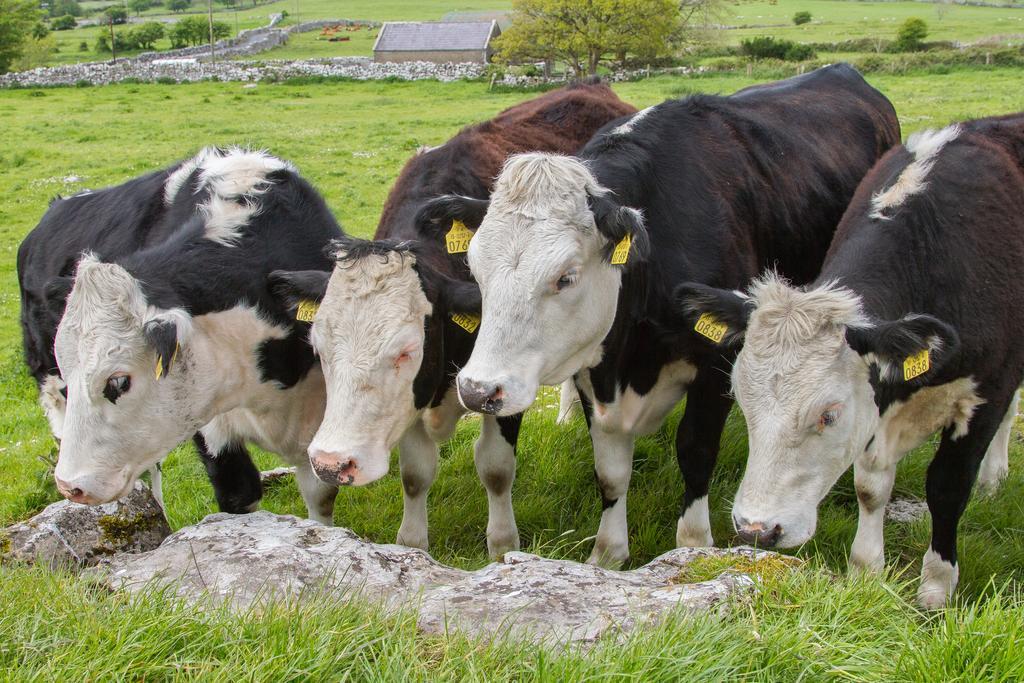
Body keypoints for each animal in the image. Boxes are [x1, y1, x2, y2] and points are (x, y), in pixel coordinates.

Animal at [38, 148, 339, 524]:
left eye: (119, 382)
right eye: (68, 368)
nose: (70, 486)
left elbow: (320, 494)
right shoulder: (211, 425)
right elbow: (238, 495)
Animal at [428, 63, 901, 565]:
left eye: (566, 277)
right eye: (475, 267)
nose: (478, 390)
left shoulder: (717, 362)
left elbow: (696, 452)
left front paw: (694, 546)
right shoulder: (596, 372)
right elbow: (611, 471)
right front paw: (608, 552)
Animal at [671, 113, 1024, 610]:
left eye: (828, 414)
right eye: (742, 402)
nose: (757, 531)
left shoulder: (988, 389)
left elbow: (948, 486)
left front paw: (936, 588)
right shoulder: (877, 404)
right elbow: (871, 487)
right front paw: (865, 571)